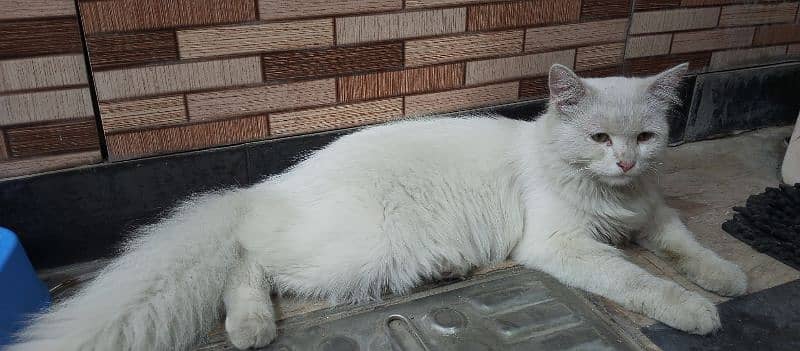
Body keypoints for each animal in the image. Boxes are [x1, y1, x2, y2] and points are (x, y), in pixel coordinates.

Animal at [9, 64, 752, 351]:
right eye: (599, 139)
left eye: (645, 138)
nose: (624, 162)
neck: (614, 195)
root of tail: (267, 186)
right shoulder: (561, 246)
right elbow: (639, 278)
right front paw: (697, 310)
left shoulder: (656, 216)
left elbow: (689, 248)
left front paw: (727, 279)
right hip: (351, 251)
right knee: (247, 261)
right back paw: (252, 326)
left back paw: (447, 270)